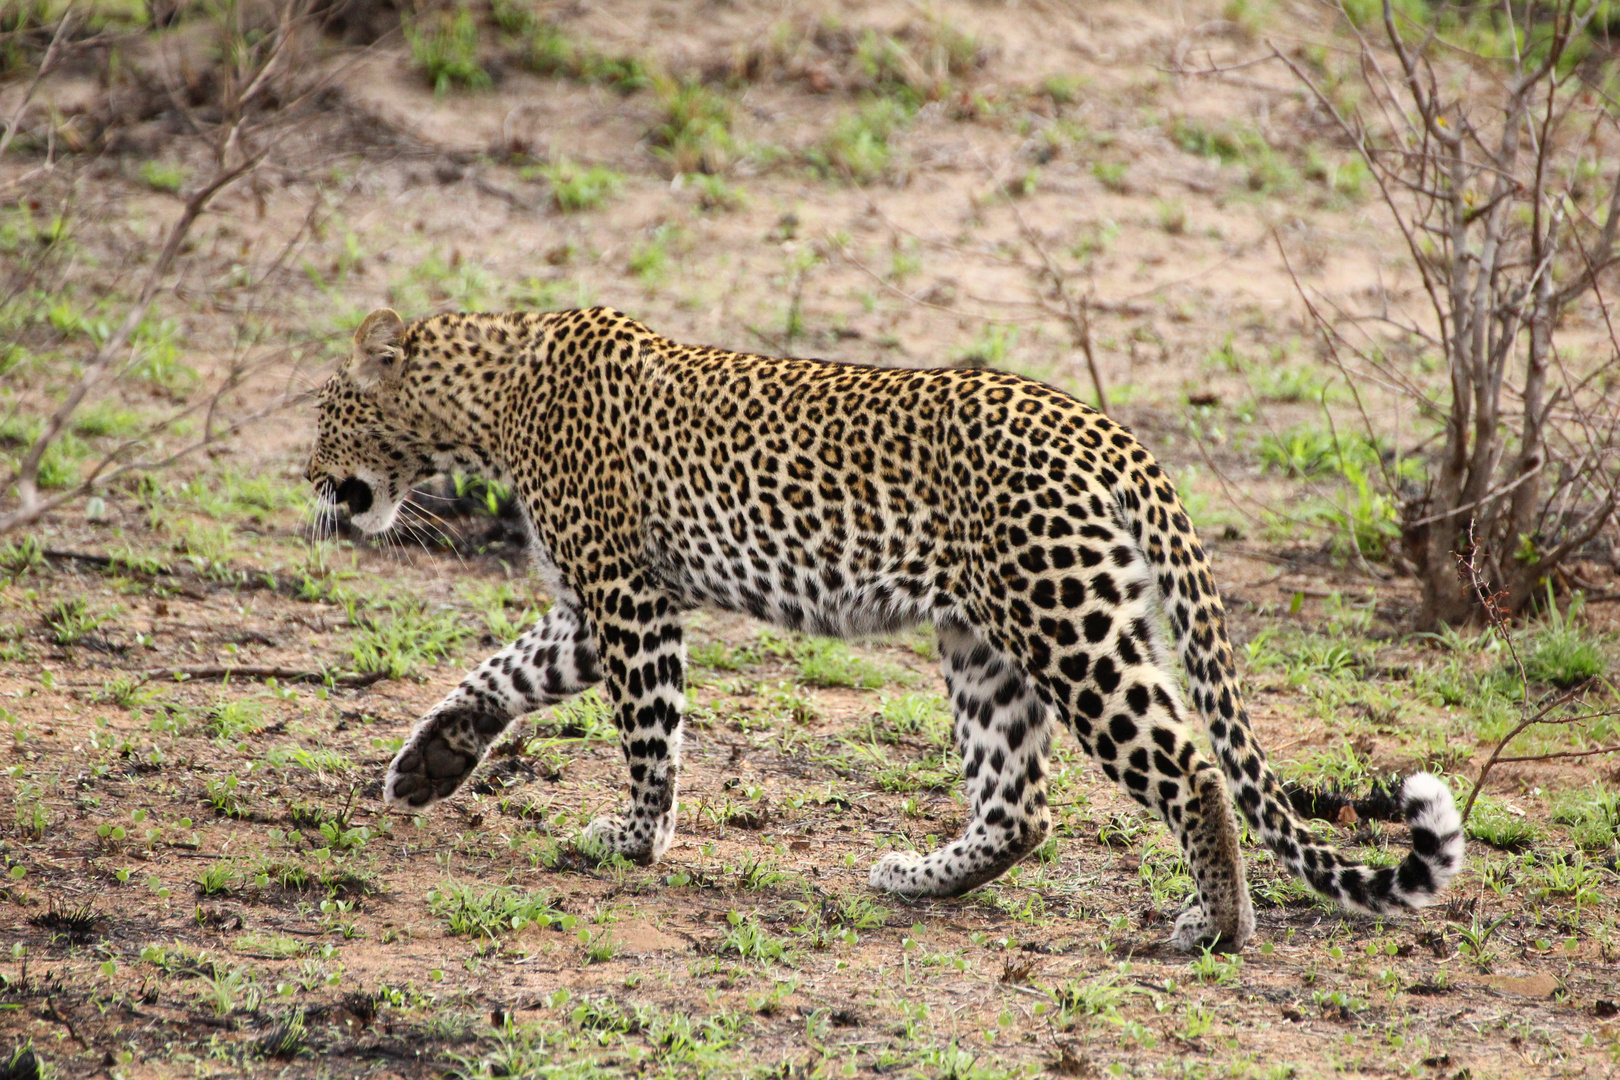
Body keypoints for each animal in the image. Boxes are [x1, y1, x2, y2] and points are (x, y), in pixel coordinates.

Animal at [306, 306, 1470, 952]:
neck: (488, 401)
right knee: (1021, 804)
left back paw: (1217, 927)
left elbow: (649, 736)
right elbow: (507, 671)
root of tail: (1107, 429)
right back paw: (918, 878)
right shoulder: (600, 607)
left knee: (1186, 764)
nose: (311, 481)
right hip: (992, 639)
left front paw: (635, 839)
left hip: (1066, 630)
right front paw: (431, 763)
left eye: (323, 413)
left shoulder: (629, 597)